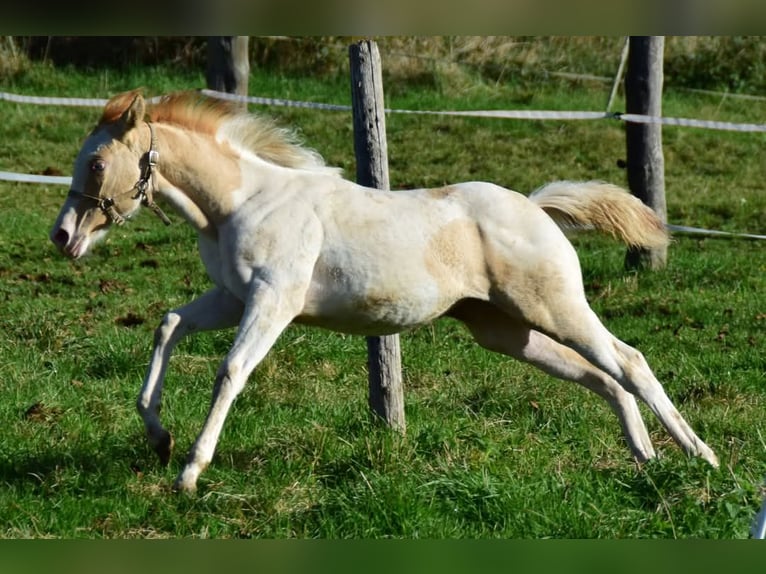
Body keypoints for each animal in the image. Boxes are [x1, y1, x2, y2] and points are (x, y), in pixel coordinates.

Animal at [49, 91, 720, 496]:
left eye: (96, 163)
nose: (62, 236)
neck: (243, 202)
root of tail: (535, 208)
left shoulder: (273, 301)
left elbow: (231, 370)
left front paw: (190, 470)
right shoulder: (232, 298)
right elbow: (168, 324)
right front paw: (159, 438)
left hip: (556, 308)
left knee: (629, 361)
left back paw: (700, 456)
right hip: (507, 331)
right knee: (603, 378)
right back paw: (646, 459)